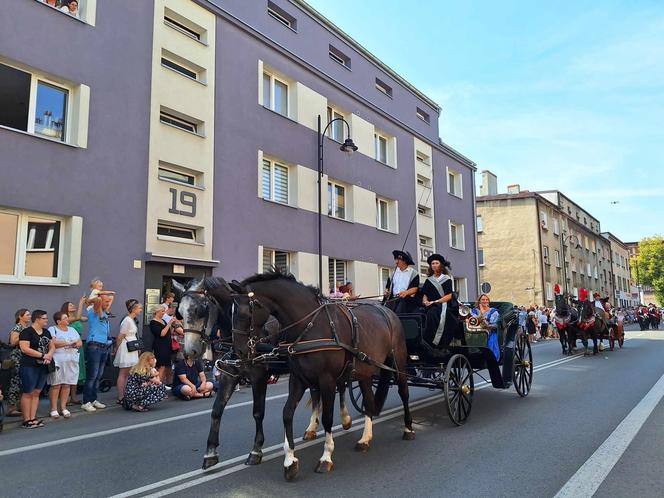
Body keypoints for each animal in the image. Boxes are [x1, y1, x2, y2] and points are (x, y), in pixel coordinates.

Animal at [208, 270, 416, 480]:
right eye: (229, 312)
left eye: (244, 312)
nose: (240, 352)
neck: (311, 326)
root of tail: (387, 311)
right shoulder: (297, 379)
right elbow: (286, 413)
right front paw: (290, 460)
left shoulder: (325, 380)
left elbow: (327, 418)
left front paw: (326, 457)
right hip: (364, 372)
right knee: (368, 400)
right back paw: (365, 439)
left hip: (397, 363)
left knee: (403, 392)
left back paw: (408, 428)